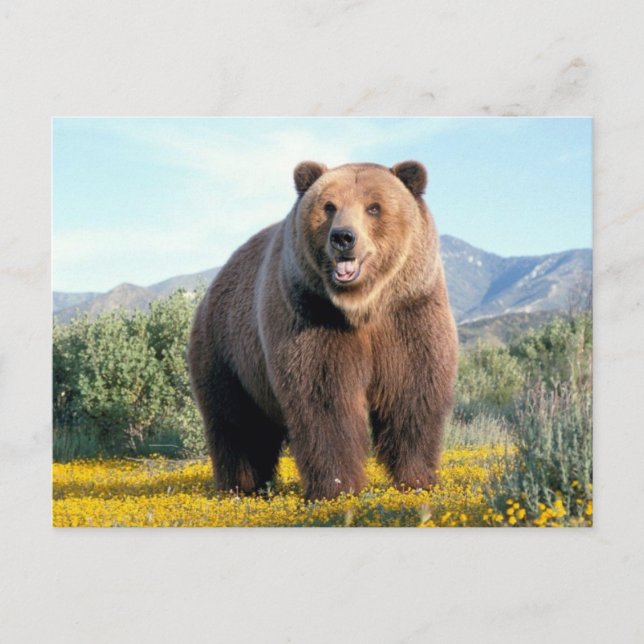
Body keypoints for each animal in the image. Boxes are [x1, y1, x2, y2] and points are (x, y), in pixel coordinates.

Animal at [188, 160, 458, 500]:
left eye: (374, 207)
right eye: (329, 206)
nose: (343, 237)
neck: (362, 306)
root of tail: (214, 285)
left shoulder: (409, 313)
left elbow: (412, 392)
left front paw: (418, 479)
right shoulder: (312, 316)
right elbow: (325, 399)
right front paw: (338, 487)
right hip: (227, 353)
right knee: (237, 423)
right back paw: (241, 487)